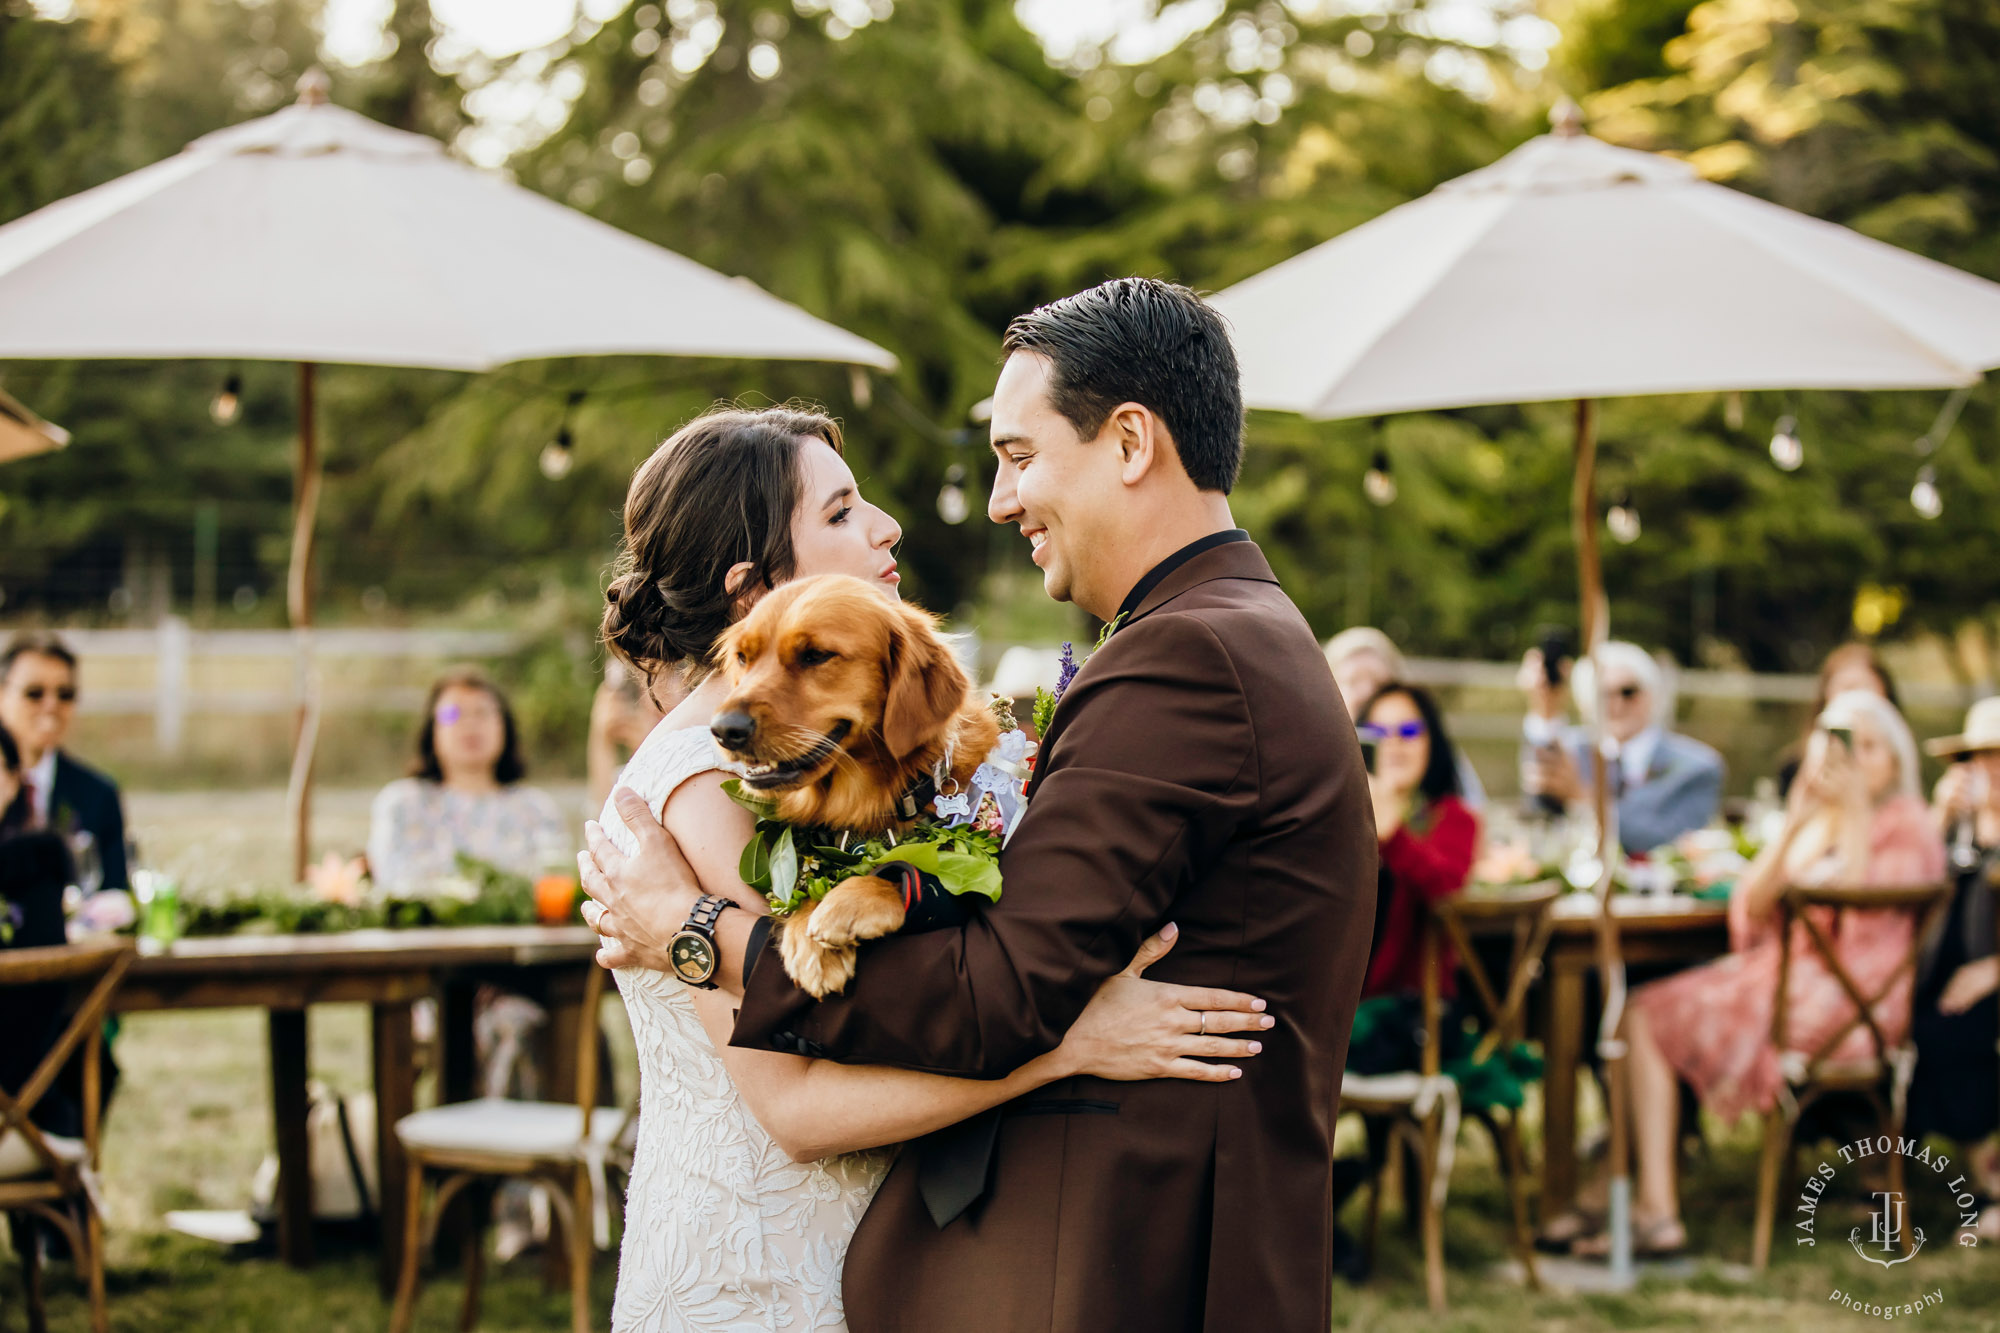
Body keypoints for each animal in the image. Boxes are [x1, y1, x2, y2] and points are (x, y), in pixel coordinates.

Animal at [716, 576, 1000, 992]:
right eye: (743, 657)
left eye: (815, 655)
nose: (724, 729)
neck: (871, 801)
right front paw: (808, 936)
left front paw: (854, 898)